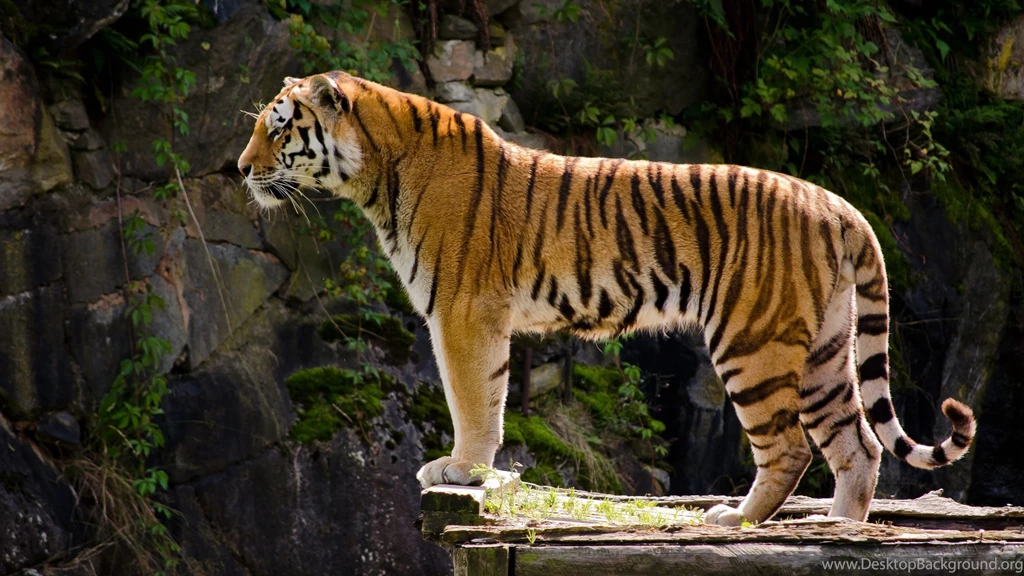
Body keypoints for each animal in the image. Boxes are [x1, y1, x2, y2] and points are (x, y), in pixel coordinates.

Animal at [237, 71, 976, 525]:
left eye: (278, 129)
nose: (241, 169)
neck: (376, 173)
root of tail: (837, 204)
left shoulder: (463, 312)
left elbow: (473, 397)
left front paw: (461, 469)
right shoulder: (474, 315)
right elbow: (489, 395)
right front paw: (471, 467)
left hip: (752, 342)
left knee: (792, 448)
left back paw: (736, 518)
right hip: (824, 347)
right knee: (859, 446)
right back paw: (841, 527)